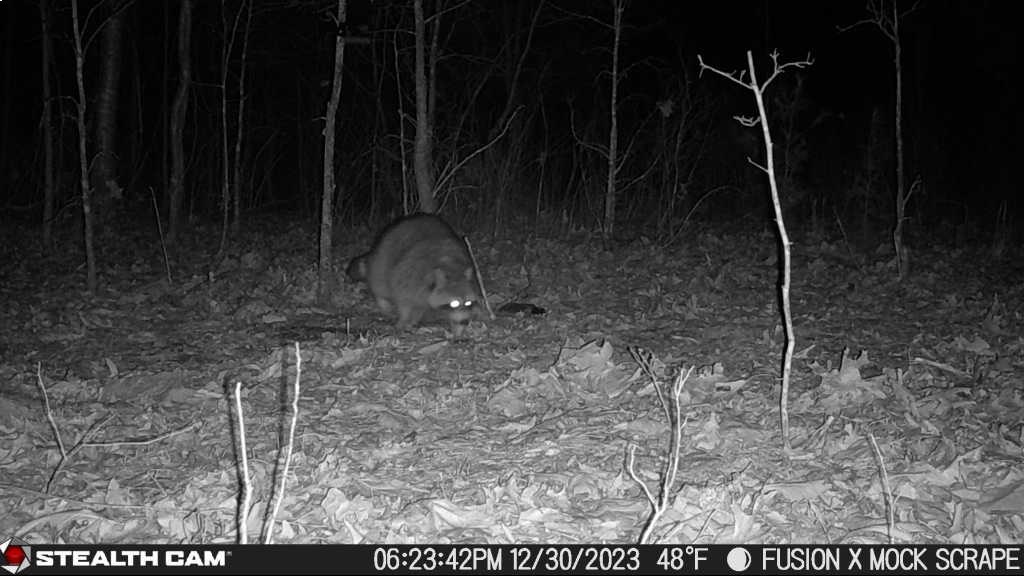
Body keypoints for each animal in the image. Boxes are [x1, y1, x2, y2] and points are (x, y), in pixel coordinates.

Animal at [348, 213, 479, 335]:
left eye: (468, 302)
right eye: (454, 303)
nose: (465, 322)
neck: (451, 267)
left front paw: (457, 329)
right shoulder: (407, 277)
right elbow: (403, 302)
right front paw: (403, 320)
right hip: (383, 259)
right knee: (380, 284)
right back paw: (382, 301)